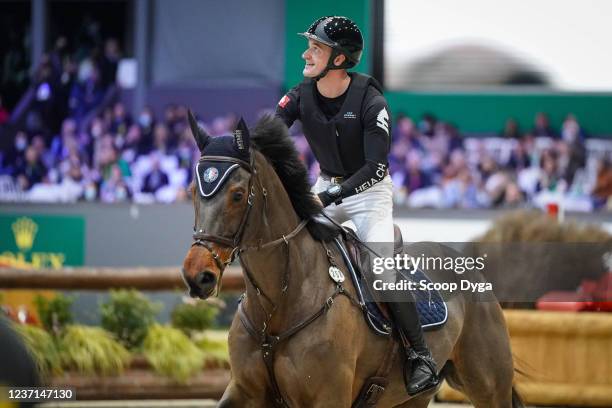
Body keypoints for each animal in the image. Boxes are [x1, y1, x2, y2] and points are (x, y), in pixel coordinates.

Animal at [180, 112, 520, 408]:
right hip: (412, 399)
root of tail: (469, 268)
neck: (278, 307)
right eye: (193, 191)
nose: (198, 276)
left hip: (489, 387)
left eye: (237, 195)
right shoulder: (243, 391)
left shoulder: (329, 397)